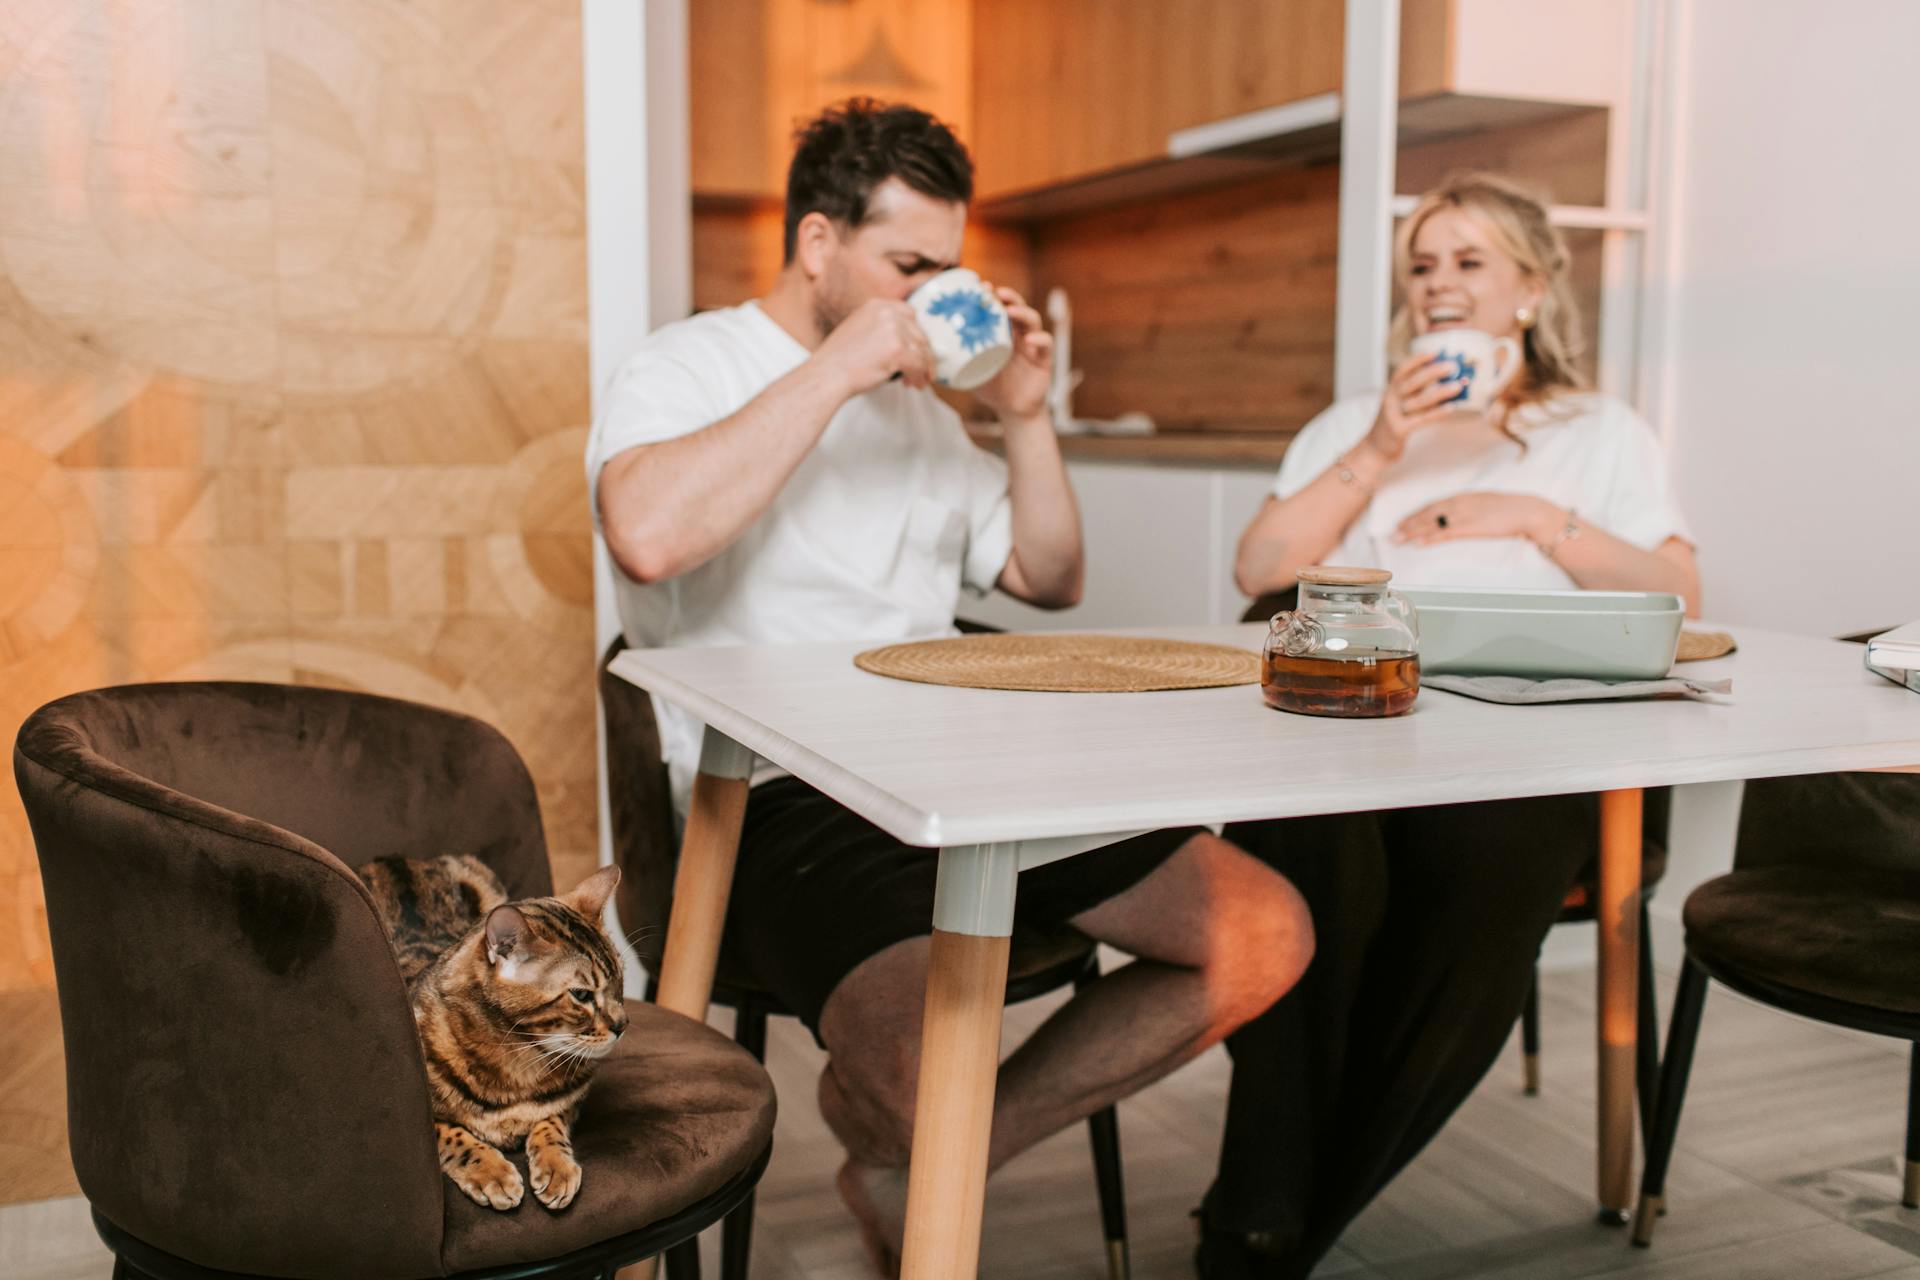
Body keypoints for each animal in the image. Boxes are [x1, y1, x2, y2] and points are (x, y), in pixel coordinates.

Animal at [360, 859, 629, 1212]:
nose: (623, 1024)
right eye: (581, 995)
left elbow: (551, 1120)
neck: (520, 1060)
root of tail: (393, 860)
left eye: (620, 982)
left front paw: (556, 1166)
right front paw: (491, 1172)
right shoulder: (420, 1119)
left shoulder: (572, 1100)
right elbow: (453, 1135)